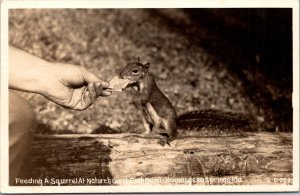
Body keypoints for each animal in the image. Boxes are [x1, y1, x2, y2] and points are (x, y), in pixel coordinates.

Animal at [119, 58, 253, 145]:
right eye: (127, 64)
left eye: (135, 71)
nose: (120, 75)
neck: (141, 81)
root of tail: (176, 121)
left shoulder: (149, 89)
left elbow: (144, 97)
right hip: (146, 118)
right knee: (149, 130)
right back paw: (143, 133)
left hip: (167, 122)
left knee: (174, 133)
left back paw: (168, 138)